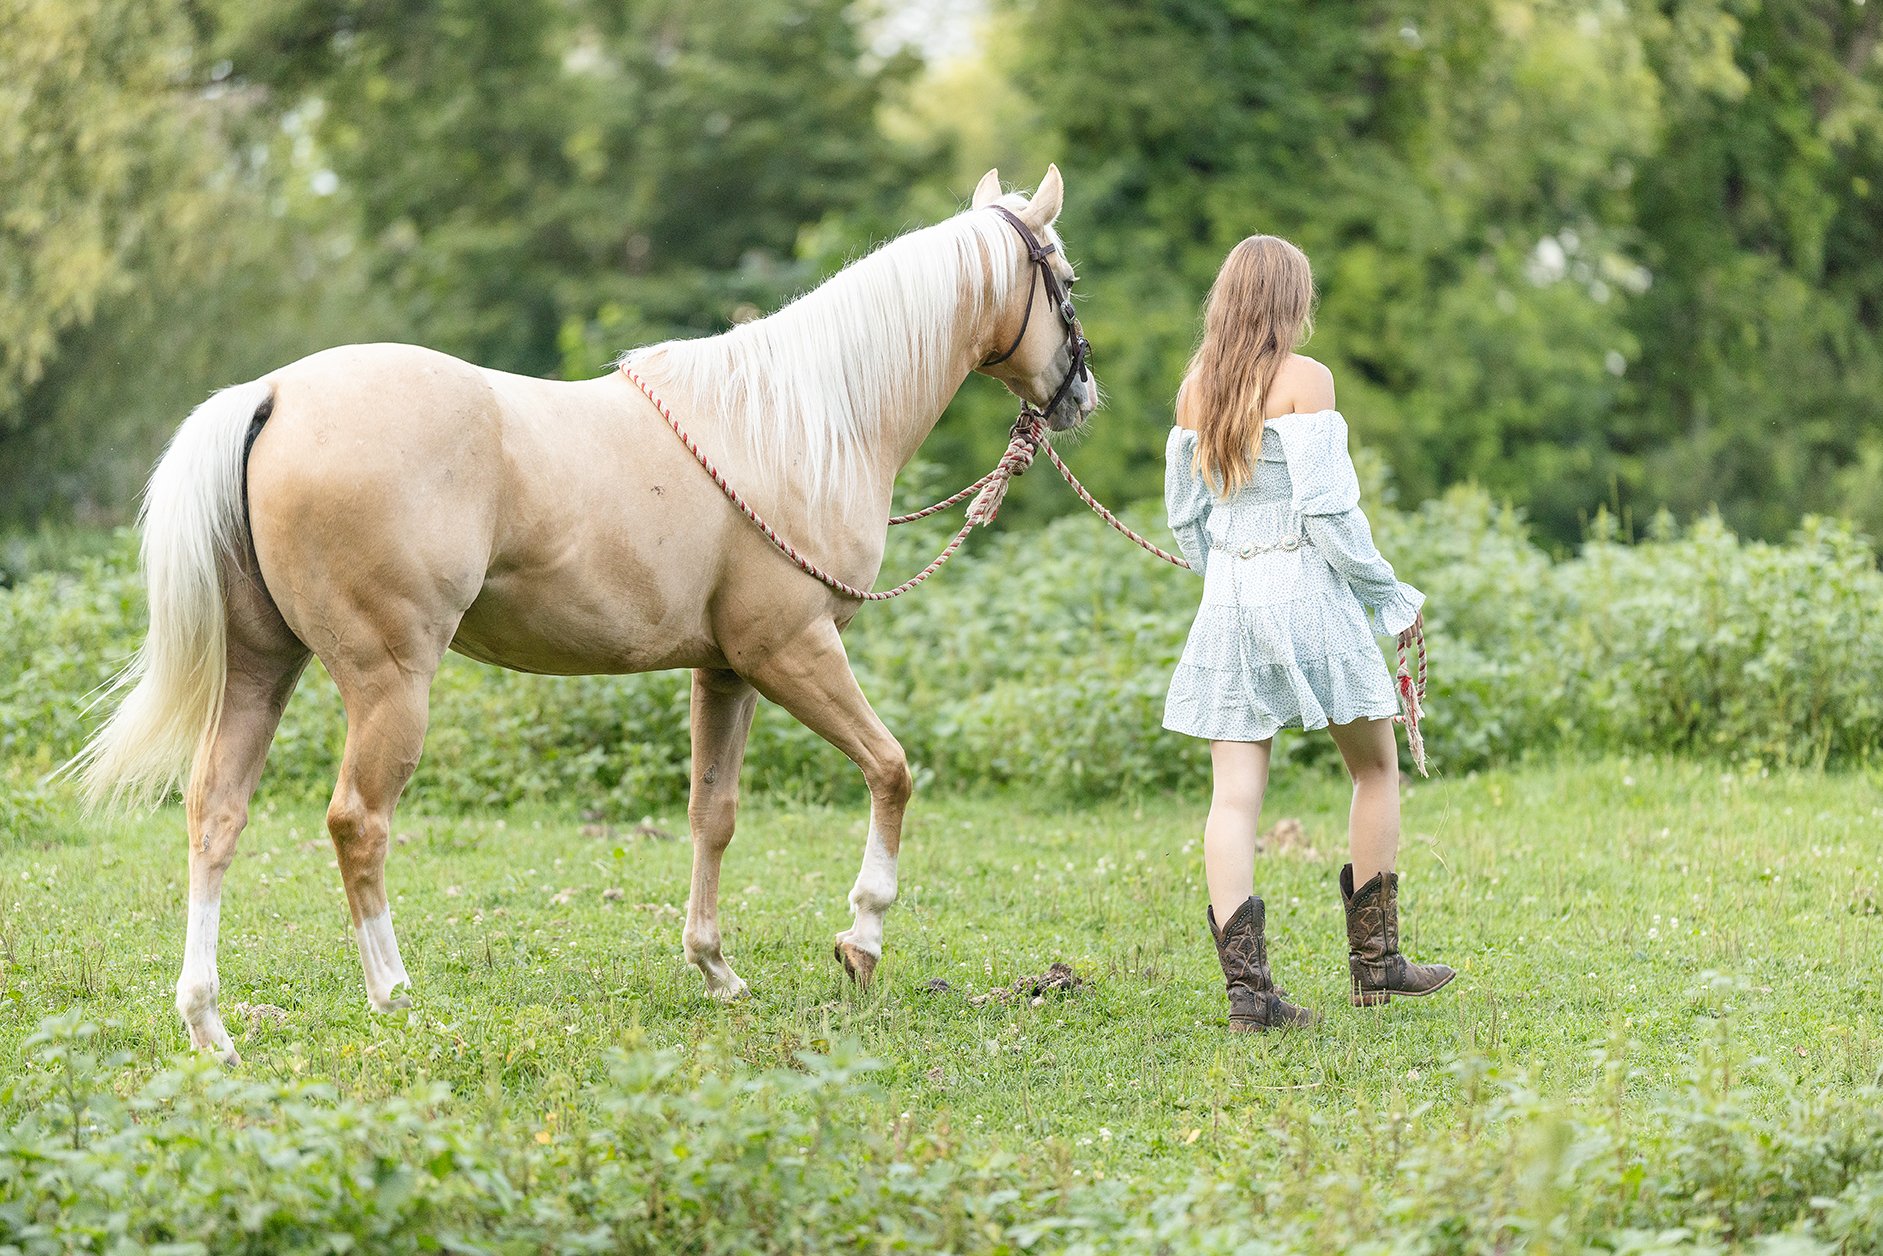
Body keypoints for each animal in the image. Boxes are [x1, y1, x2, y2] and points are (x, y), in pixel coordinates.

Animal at [80, 166, 1099, 1062]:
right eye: (1064, 276)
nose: (1080, 397)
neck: (799, 424)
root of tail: (276, 393)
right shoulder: (791, 653)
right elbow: (890, 770)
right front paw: (861, 941)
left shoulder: (725, 670)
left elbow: (712, 814)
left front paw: (715, 969)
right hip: (389, 681)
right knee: (357, 822)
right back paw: (395, 995)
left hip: (264, 666)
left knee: (215, 813)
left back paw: (209, 1023)